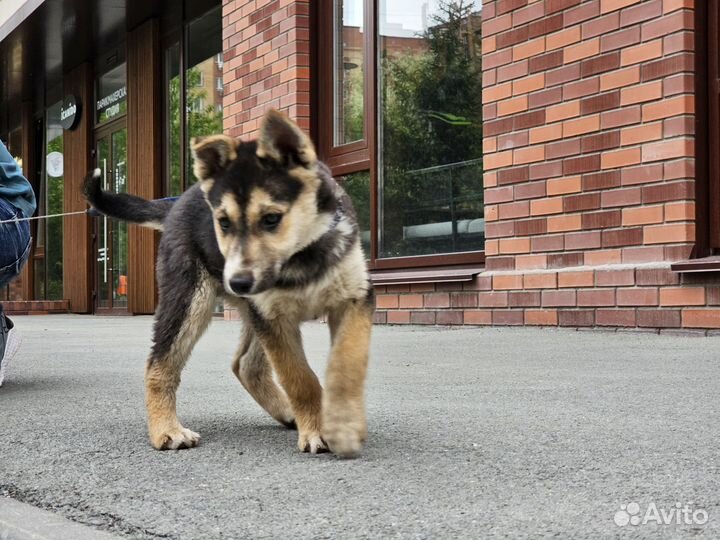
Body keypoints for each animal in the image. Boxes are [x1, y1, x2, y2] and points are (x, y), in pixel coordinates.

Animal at [84, 112, 374, 458]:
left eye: (271, 219)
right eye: (223, 223)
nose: (237, 282)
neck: (301, 258)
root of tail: (178, 202)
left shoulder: (353, 300)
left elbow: (347, 365)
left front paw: (342, 425)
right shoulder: (274, 319)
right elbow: (299, 378)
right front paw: (316, 429)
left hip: (251, 313)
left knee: (246, 365)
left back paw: (286, 413)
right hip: (191, 301)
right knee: (160, 362)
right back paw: (166, 430)